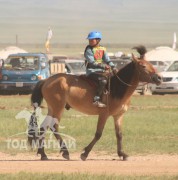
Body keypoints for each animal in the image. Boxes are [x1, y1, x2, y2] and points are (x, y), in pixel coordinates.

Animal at [31, 45, 163, 161]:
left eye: (151, 64)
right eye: (143, 66)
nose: (159, 78)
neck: (116, 87)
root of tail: (46, 80)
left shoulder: (118, 115)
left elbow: (119, 134)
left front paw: (122, 154)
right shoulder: (104, 115)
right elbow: (98, 134)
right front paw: (85, 153)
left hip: (52, 108)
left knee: (44, 126)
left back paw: (43, 154)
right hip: (58, 108)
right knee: (54, 126)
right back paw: (65, 152)